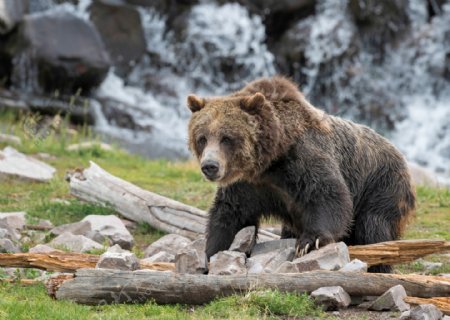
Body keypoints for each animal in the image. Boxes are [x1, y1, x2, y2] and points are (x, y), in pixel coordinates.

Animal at [185, 75, 414, 272]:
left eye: (227, 138)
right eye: (202, 138)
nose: (210, 166)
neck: (271, 159)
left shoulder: (303, 160)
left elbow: (329, 195)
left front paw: (309, 242)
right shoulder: (248, 185)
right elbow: (230, 214)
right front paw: (210, 252)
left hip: (382, 186)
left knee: (374, 227)